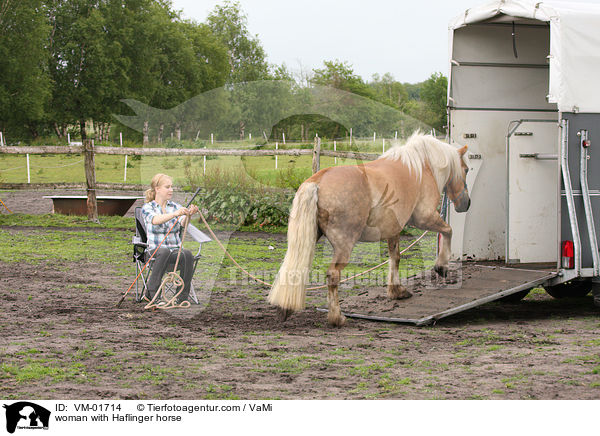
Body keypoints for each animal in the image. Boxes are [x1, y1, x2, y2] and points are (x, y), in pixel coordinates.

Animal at [270, 133, 472, 328]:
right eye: (467, 169)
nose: (466, 203)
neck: (421, 168)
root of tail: (317, 181)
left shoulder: (393, 230)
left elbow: (395, 258)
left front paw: (396, 291)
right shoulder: (424, 218)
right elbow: (448, 231)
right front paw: (441, 267)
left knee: (294, 270)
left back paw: (285, 308)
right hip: (344, 246)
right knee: (333, 275)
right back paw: (337, 318)